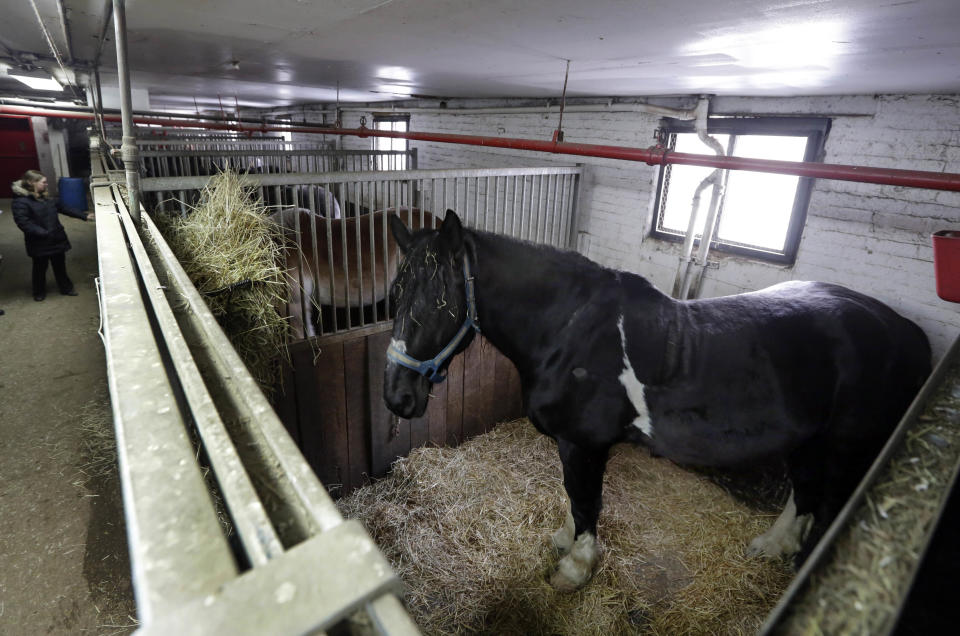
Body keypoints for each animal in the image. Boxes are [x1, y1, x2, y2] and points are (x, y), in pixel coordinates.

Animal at [382, 210, 928, 592]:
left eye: (439, 305)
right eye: (393, 297)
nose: (397, 397)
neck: (572, 331)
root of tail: (906, 331)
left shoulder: (584, 444)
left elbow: (586, 500)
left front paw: (575, 569)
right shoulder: (572, 444)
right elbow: (572, 497)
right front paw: (564, 539)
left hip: (846, 449)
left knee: (827, 506)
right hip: (809, 438)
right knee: (805, 491)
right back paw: (771, 545)